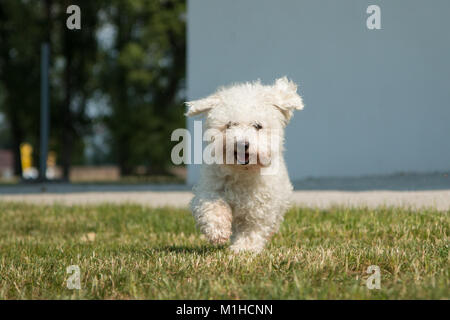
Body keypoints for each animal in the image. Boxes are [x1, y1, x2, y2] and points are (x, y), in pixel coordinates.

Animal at [185, 77, 304, 252]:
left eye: (257, 126)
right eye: (229, 125)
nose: (242, 144)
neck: (243, 171)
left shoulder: (261, 205)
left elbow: (252, 228)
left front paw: (244, 249)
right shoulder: (210, 187)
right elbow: (211, 205)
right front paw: (217, 230)